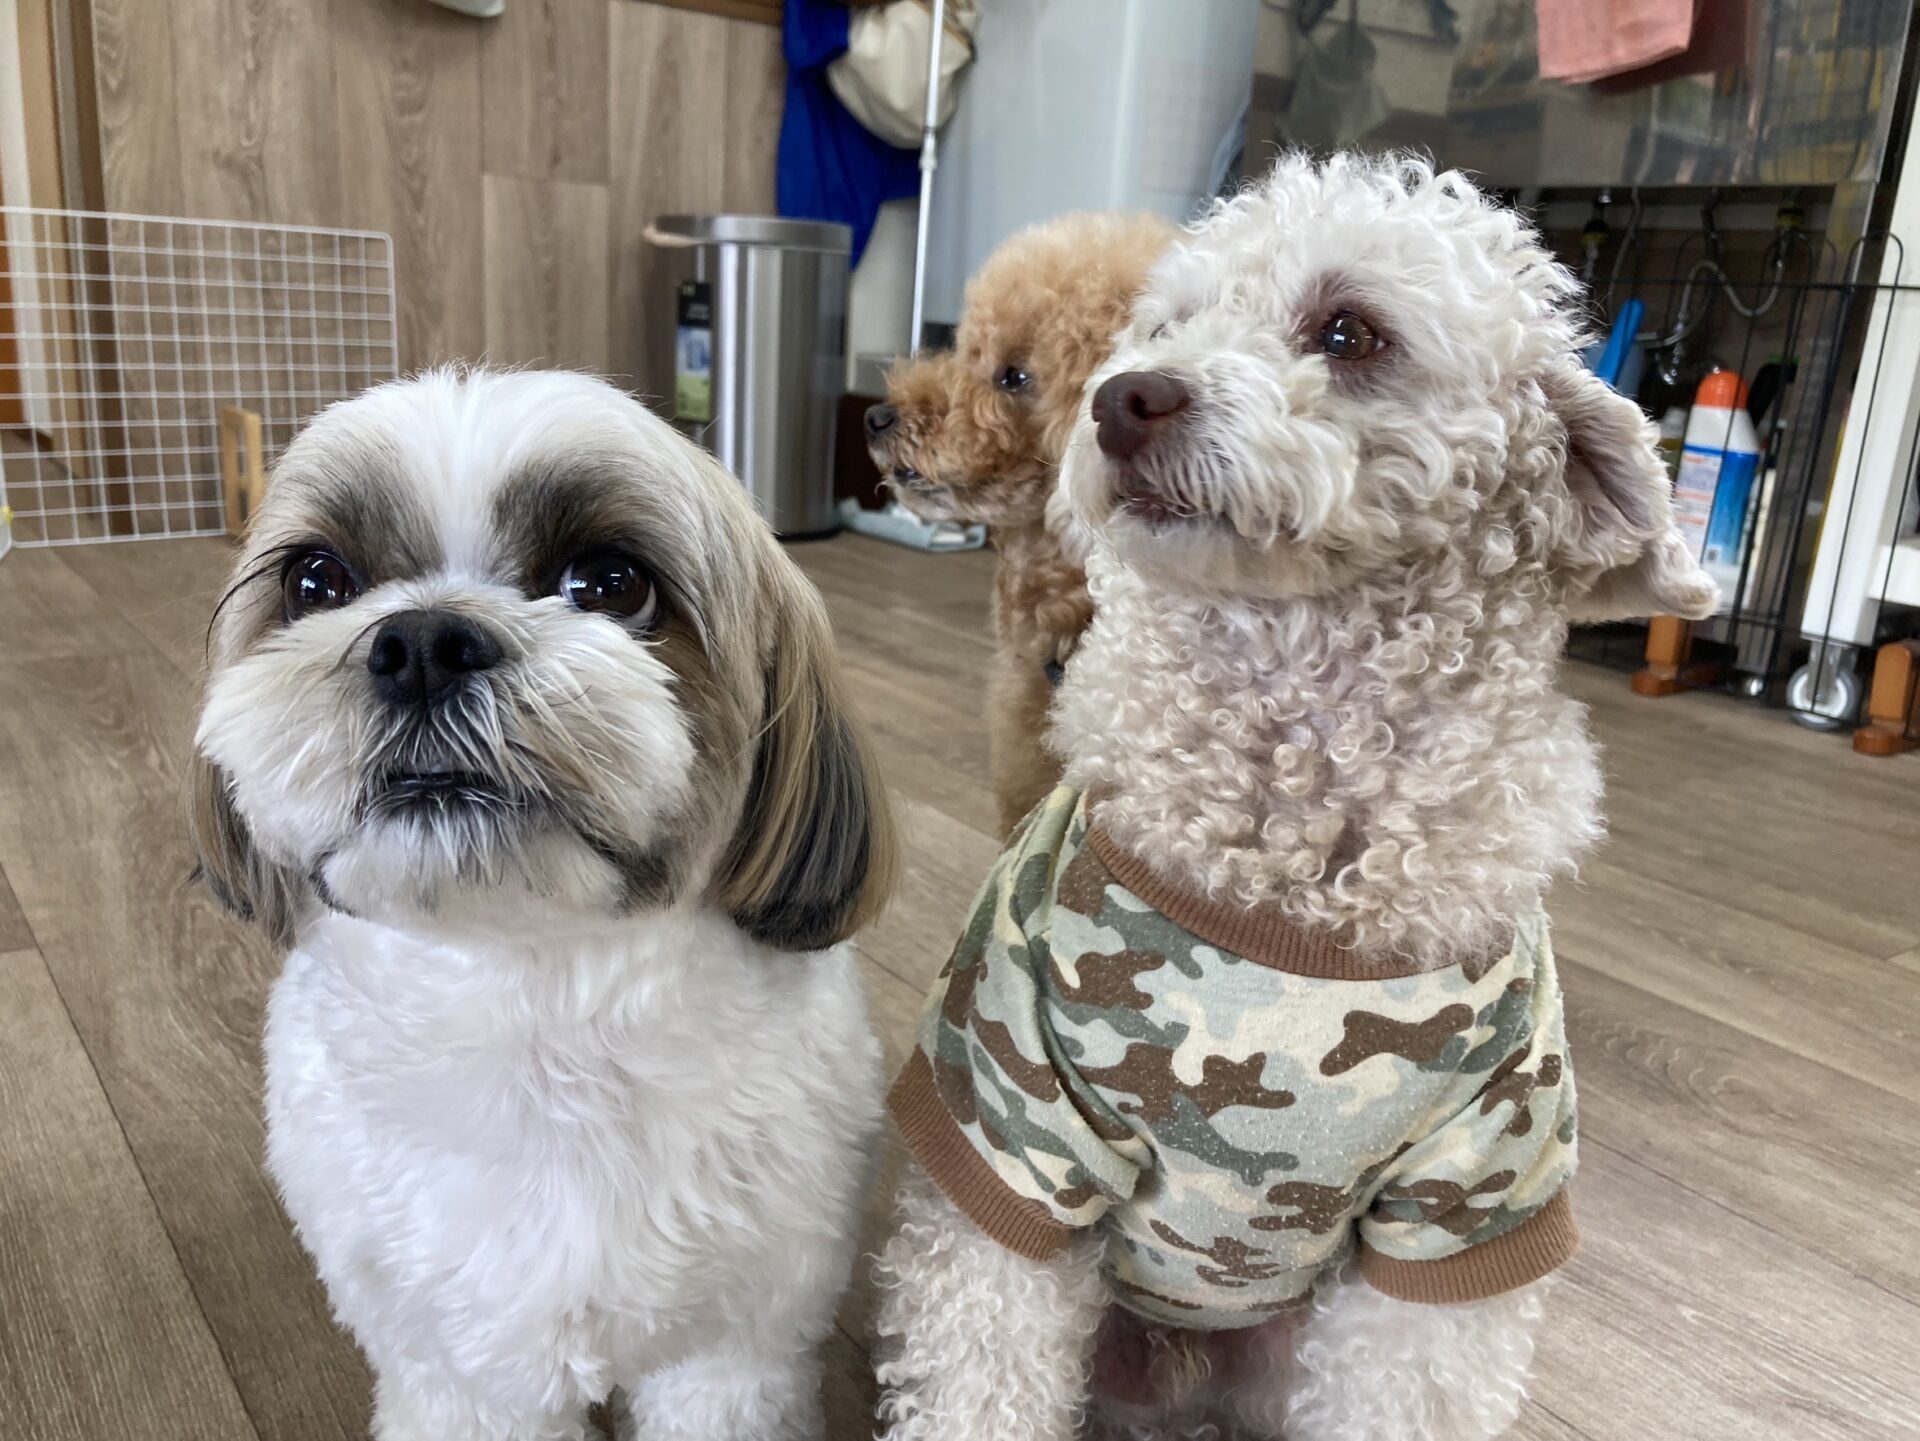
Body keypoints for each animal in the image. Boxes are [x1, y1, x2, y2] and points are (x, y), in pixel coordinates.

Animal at [190, 369, 895, 1441]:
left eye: (609, 583)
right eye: (316, 582)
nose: (422, 639)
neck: (537, 1003)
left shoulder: (734, 1347)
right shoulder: (465, 1370)